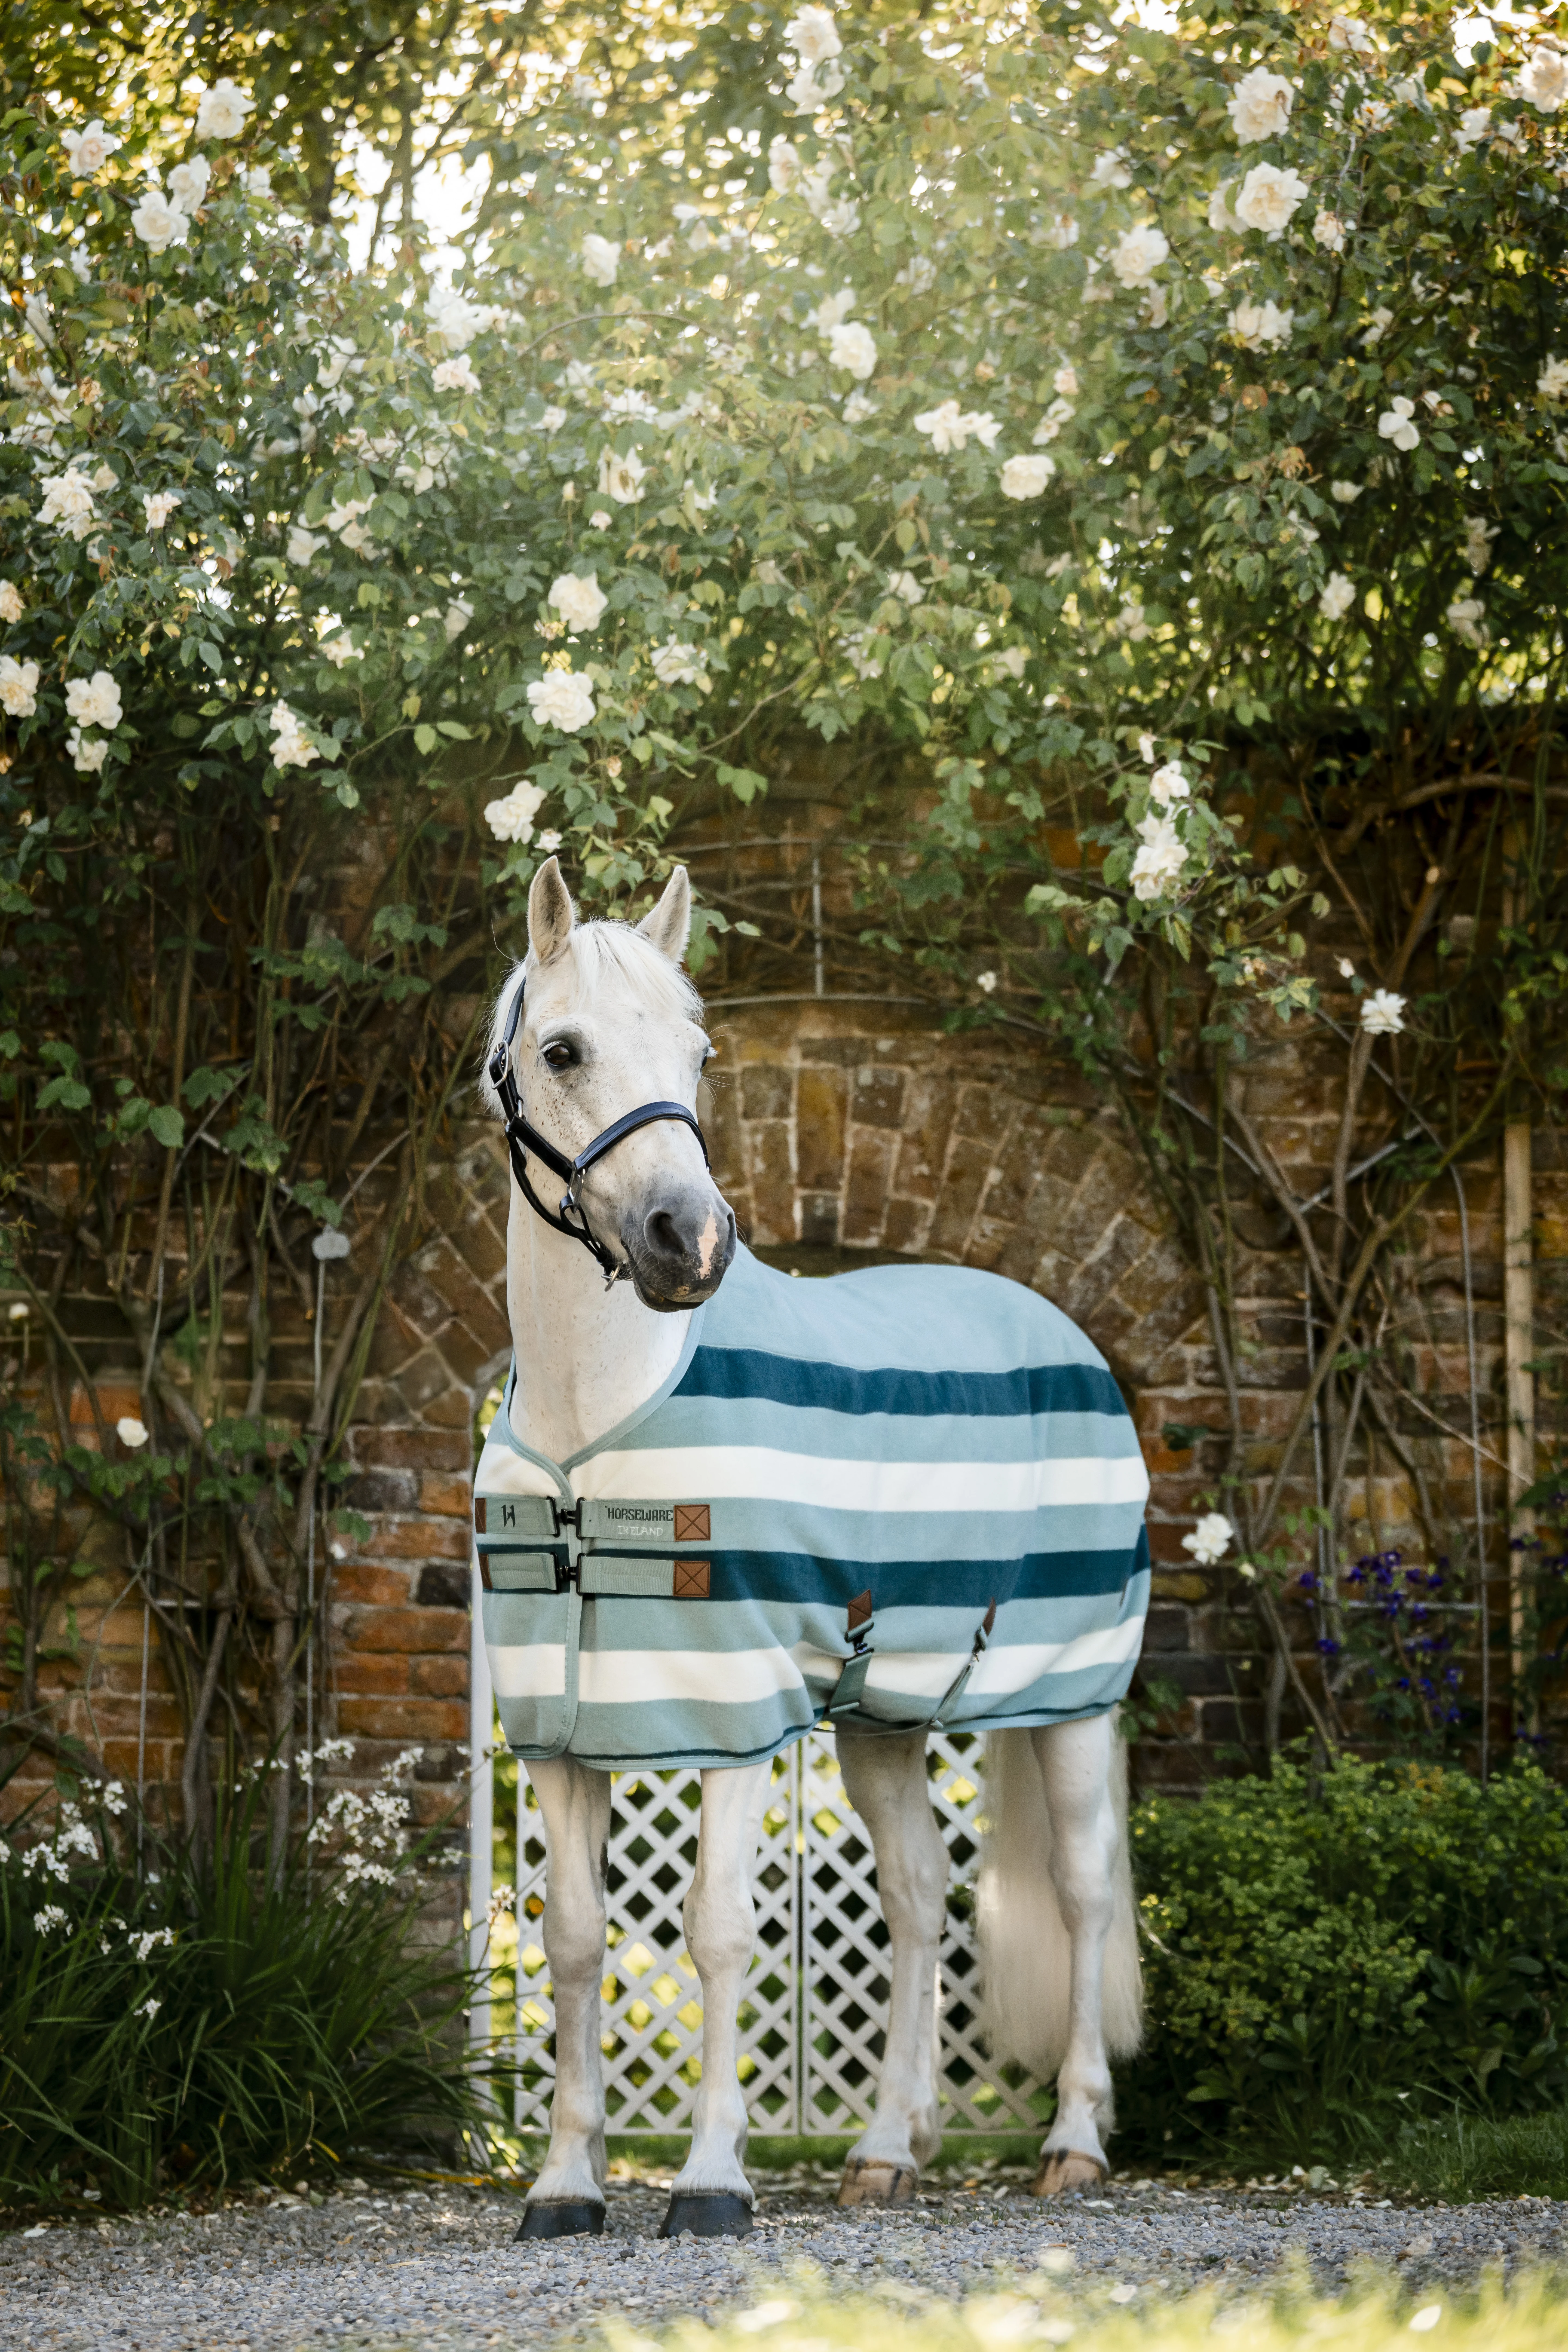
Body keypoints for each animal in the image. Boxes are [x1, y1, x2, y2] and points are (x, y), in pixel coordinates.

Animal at [474, 856, 1149, 2241]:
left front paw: (710, 2182)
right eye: (562, 1049)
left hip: (1069, 1698)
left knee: (1083, 1894)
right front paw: (565, 2186)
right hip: (884, 1721)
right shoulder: (563, 1735)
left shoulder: (734, 1714)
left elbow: (718, 1930)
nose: (689, 1241)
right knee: (919, 1902)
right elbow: (573, 1940)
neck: (590, 1425)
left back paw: (1073, 2142)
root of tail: (1061, 1332)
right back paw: (890, 2149)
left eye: (697, 1051)